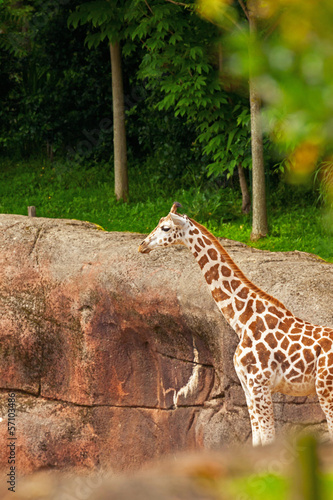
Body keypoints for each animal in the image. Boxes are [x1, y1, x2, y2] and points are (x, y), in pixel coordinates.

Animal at [137, 202, 332, 446]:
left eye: (165, 227)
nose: (142, 245)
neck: (243, 321)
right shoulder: (248, 388)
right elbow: (257, 439)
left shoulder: (259, 385)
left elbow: (268, 439)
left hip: (325, 390)